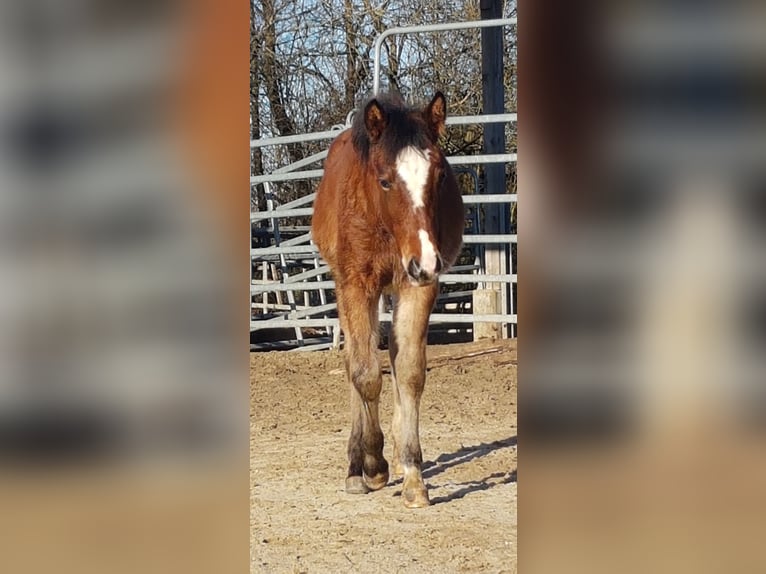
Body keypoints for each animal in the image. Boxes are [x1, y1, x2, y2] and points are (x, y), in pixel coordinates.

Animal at [314, 91, 468, 508]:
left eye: (440, 175)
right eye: (385, 180)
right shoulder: (356, 285)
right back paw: (357, 466)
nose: (426, 260)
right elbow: (365, 374)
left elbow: (410, 372)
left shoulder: (418, 285)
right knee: (354, 360)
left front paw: (413, 474)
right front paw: (372, 465)